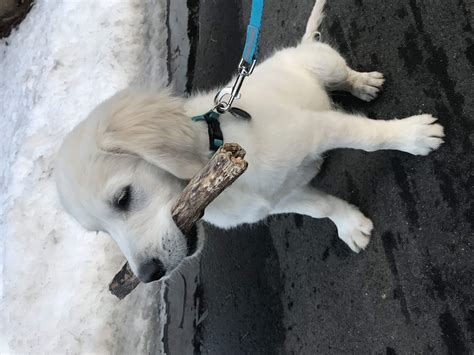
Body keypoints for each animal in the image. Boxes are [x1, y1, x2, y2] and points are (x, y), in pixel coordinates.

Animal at [55, 0, 444, 284]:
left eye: (123, 198)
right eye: (100, 231)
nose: (149, 275)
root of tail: (297, 48)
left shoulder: (314, 128)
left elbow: (369, 138)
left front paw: (414, 136)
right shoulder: (279, 200)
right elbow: (321, 207)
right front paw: (349, 224)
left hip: (325, 65)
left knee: (343, 75)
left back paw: (363, 84)